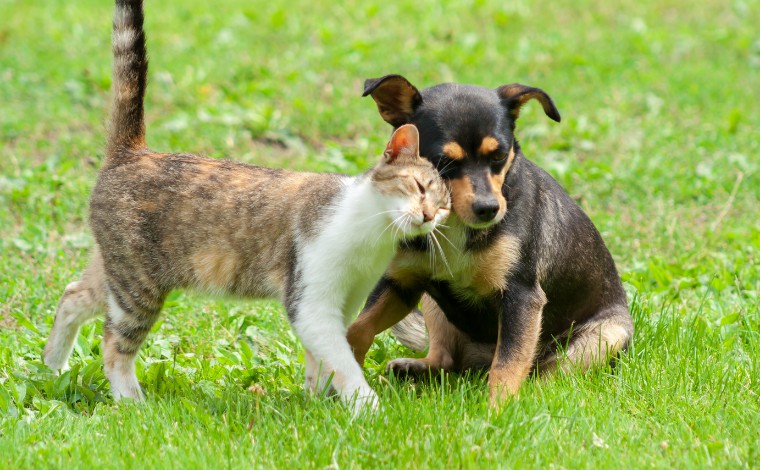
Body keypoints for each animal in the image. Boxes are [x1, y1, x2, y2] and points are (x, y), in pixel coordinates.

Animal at [43, 0, 452, 412]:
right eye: (419, 186)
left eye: (444, 208)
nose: (428, 216)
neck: (372, 235)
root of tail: (133, 151)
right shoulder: (311, 304)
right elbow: (344, 361)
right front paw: (367, 408)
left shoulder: (346, 300)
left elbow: (321, 362)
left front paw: (317, 401)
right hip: (138, 286)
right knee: (114, 347)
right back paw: (131, 401)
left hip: (117, 272)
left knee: (72, 295)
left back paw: (52, 368)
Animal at [348, 75, 632, 406]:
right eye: (443, 161)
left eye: (499, 155)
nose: (488, 209)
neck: (454, 223)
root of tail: (477, 361)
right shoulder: (402, 284)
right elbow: (358, 328)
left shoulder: (521, 296)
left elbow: (508, 364)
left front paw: (497, 411)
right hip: (433, 305)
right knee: (445, 360)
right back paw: (413, 368)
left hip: (604, 337)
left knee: (544, 374)